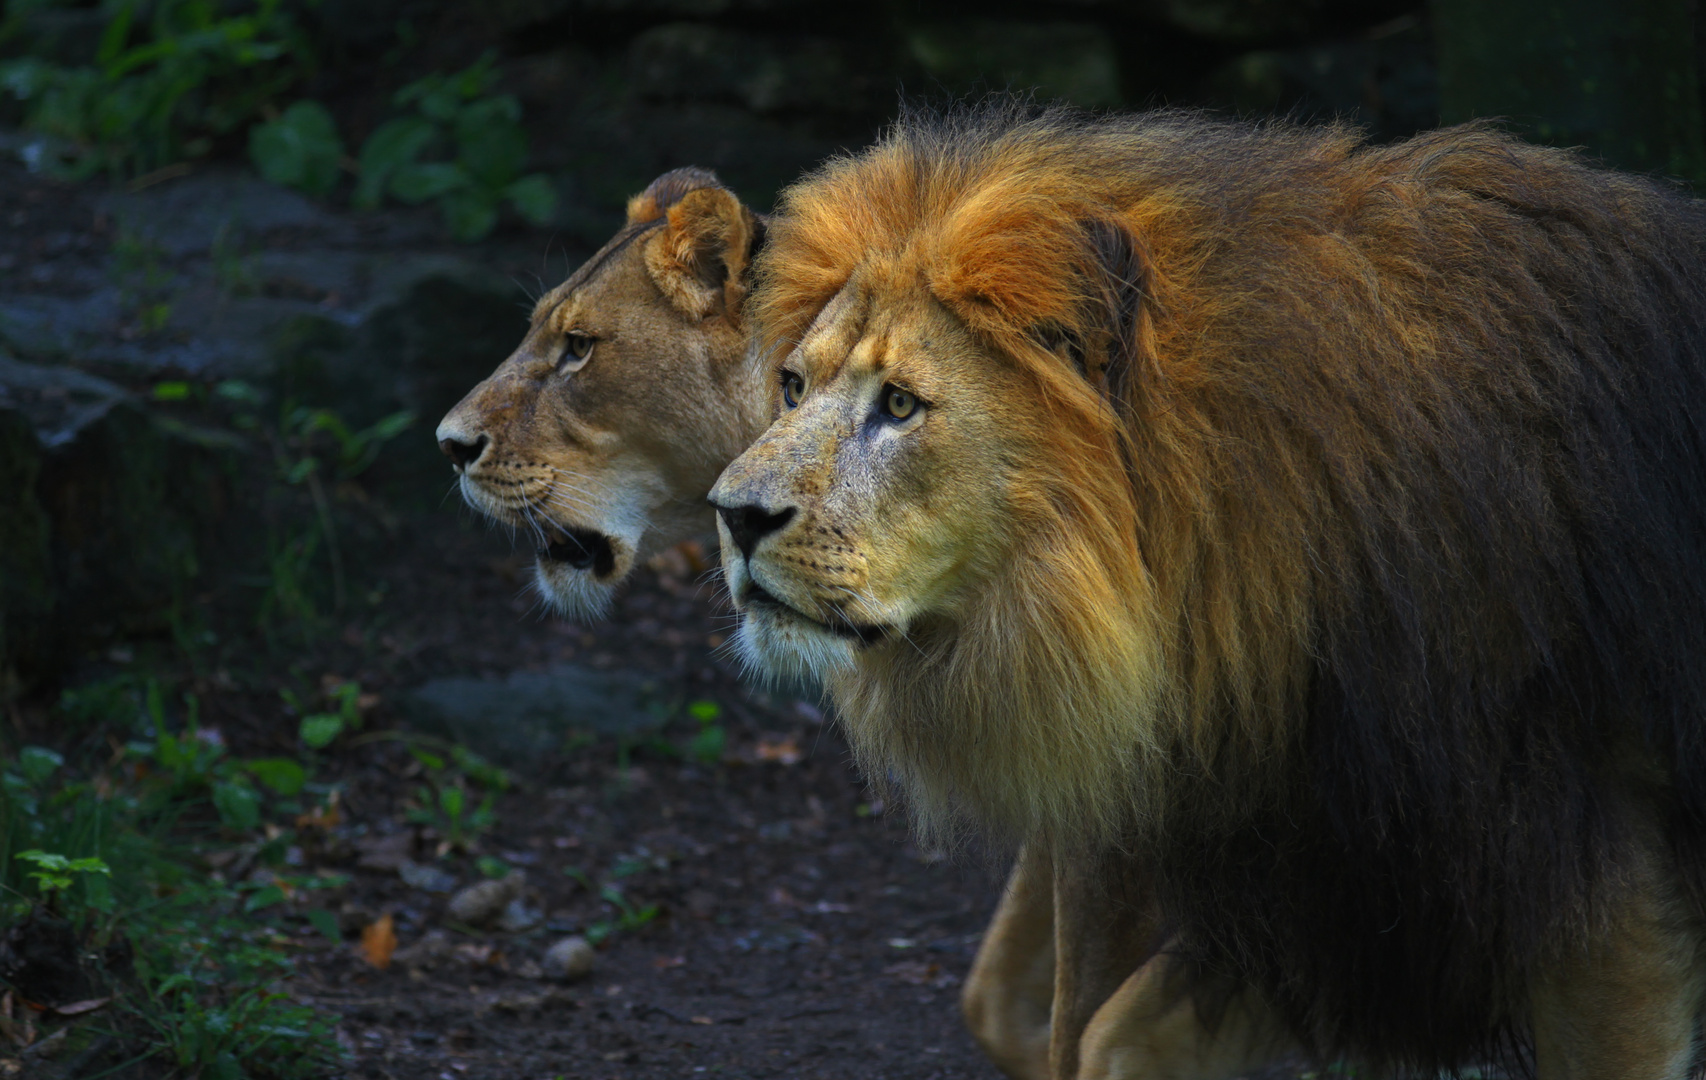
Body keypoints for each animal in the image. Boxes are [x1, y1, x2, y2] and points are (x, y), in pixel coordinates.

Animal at [709, 103, 1706, 1078]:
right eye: (792, 386)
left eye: (901, 405)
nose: (733, 515)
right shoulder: (1308, 885)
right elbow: (1108, 1040)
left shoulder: (1590, 891)